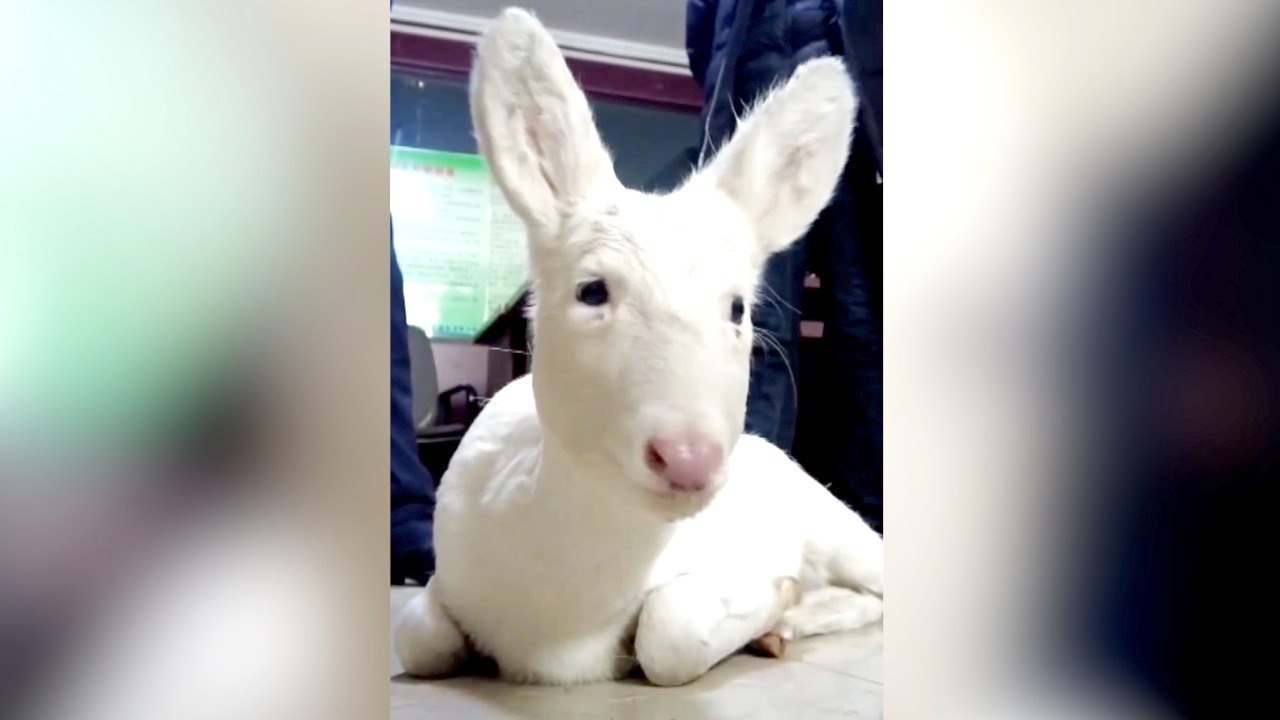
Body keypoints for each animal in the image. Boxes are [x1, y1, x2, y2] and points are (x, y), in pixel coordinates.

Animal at [394, 7, 883, 687]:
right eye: (592, 289)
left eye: (738, 308)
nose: (688, 459)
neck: (559, 630)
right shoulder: (448, 574)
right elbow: (419, 637)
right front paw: (783, 607)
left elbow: (668, 637)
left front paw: (776, 597)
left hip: (834, 520)